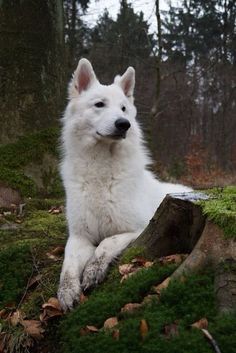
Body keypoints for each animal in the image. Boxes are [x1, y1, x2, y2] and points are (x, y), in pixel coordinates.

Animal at [57, 59, 192, 310]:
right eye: (99, 104)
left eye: (123, 109)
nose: (124, 124)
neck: (100, 171)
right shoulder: (79, 236)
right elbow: (67, 265)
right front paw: (66, 291)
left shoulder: (138, 229)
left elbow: (107, 243)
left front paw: (93, 270)